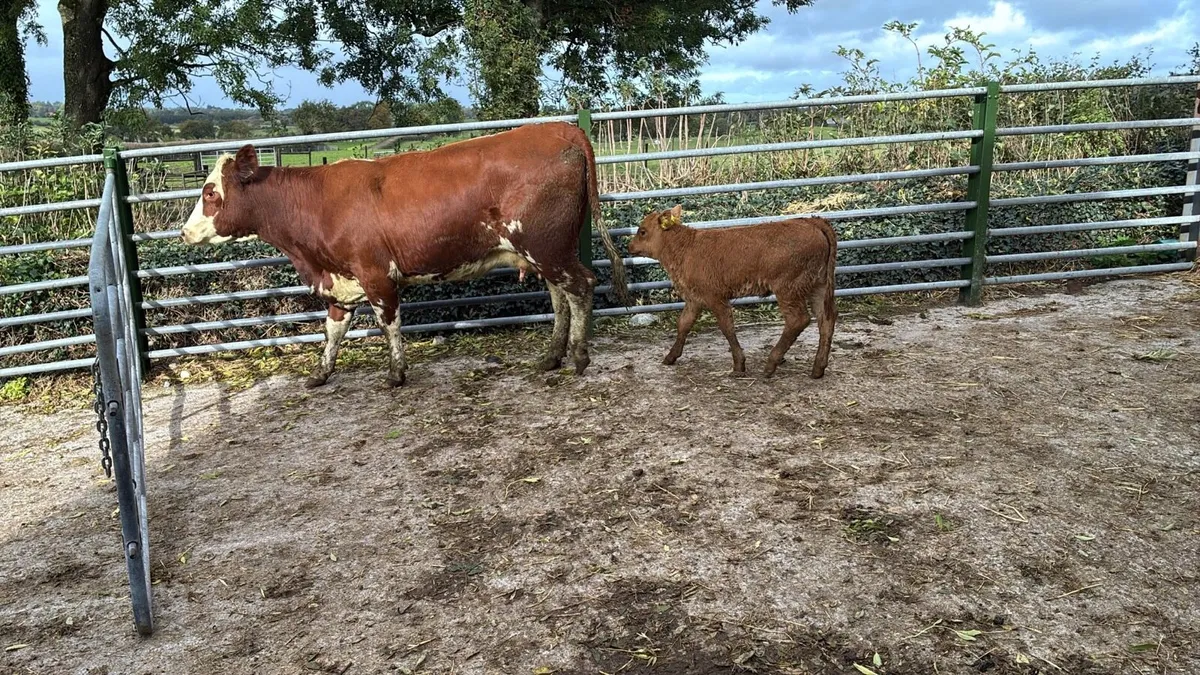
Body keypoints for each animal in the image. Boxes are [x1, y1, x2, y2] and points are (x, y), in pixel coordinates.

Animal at [178, 121, 630, 388]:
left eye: (210, 192)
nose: (184, 232)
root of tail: (560, 127)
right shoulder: (341, 282)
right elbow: (333, 331)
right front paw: (321, 373)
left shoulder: (375, 274)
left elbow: (389, 322)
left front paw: (396, 372)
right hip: (543, 251)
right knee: (560, 296)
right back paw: (552, 356)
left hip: (546, 246)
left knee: (580, 286)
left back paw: (578, 355)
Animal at [626, 205, 837, 379]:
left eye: (642, 231)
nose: (629, 246)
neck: (685, 248)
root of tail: (812, 221)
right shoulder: (694, 299)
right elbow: (683, 324)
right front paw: (671, 356)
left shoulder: (715, 297)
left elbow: (726, 327)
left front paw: (739, 364)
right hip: (819, 285)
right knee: (826, 319)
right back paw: (818, 368)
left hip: (788, 288)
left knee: (798, 320)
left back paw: (771, 364)